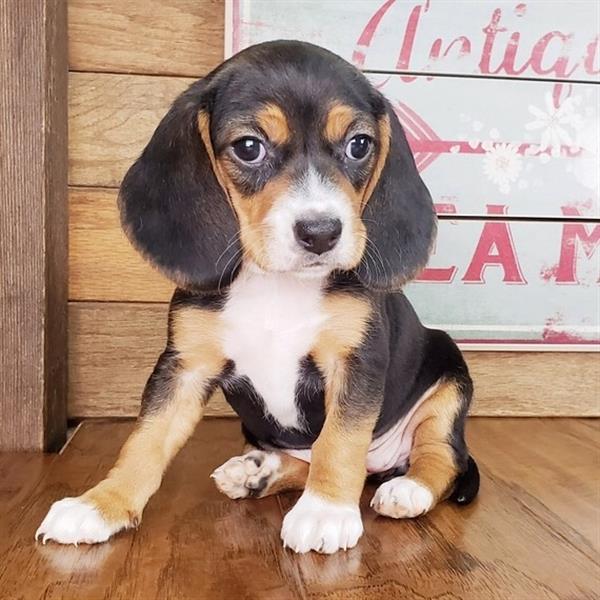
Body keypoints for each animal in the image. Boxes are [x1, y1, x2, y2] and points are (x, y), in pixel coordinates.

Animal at [37, 41, 478, 552]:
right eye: (249, 147)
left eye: (359, 145)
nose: (321, 232)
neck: (277, 284)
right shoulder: (183, 366)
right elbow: (144, 440)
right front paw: (100, 503)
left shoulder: (356, 362)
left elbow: (339, 441)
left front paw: (325, 511)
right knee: (302, 458)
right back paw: (256, 473)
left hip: (449, 373)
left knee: (442, 456)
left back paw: (408, 489)